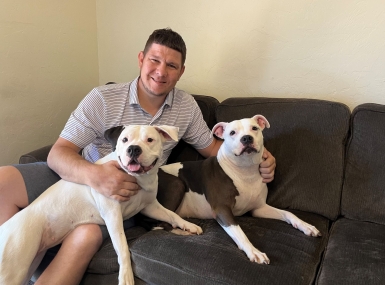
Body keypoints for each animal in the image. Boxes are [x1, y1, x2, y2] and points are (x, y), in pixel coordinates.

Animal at [0, 125, 202, 284]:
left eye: (150, 139)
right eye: (124, 139)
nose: (133, 149)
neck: (136, 179)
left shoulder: (151, 207)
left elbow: (172, 215)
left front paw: (188, 225)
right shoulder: (113, 217)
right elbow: (123, 248)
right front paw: (126, 276)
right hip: (13, 267)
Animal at [158, 115, 320, 264]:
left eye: (254, 128)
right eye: (232, 132)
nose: (246, 138)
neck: (245, 171)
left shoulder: (259, 208)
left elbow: (288, 213)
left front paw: (306, 225)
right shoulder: (222, 210)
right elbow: (240, 232)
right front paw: (254, 251)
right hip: (176, 184)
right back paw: (186, 229)